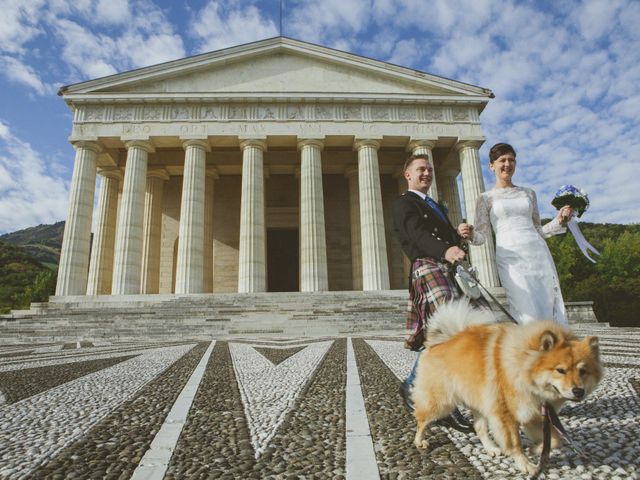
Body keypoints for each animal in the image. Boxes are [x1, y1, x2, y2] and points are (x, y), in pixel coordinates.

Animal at [412, 302, 604, 474]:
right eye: (561, 370)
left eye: (583, 371)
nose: (578, 391)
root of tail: (437, 344)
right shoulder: (506, 414)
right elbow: (515, 443)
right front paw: (526, 465)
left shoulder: (533, 415)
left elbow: (556, 441)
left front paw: (536, 449)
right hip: (441, 403)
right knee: (422, 420)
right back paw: (419, 441)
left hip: (480, 402)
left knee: (479, 428)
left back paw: (491, 449)